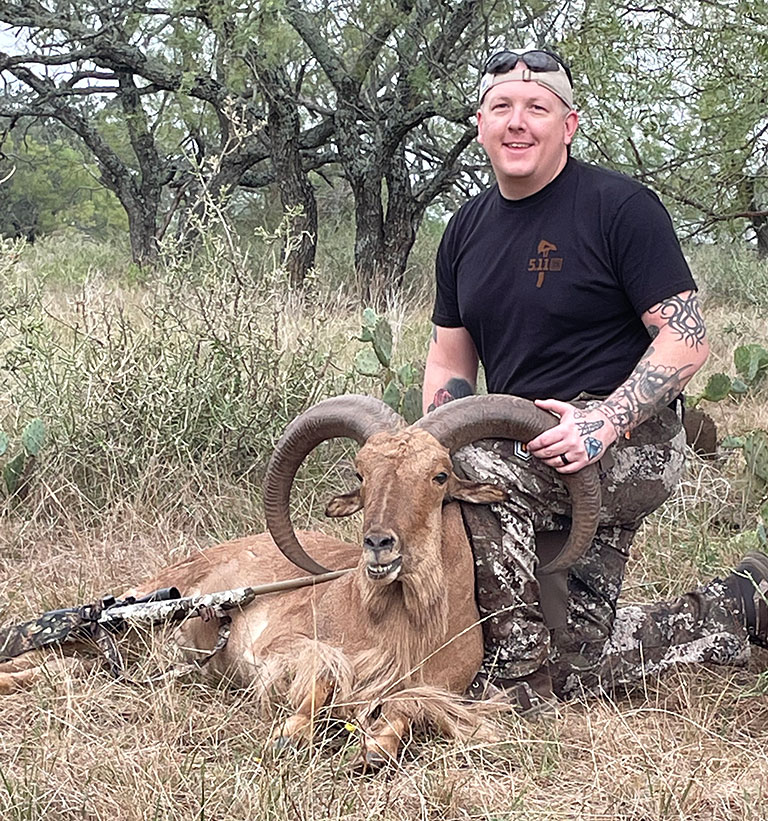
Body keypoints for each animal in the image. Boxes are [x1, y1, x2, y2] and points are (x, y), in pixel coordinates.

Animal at [0, 394, 600, 766]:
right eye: (361, 473)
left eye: (439, 476)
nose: (378, 545)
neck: (404, 626)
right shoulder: (282, 647)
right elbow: (322, 679)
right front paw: (290, 736)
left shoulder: (439, 686)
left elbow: (407, 707)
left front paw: (374, 749)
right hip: (140, 627)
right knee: (55, 659)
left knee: (68, 669)